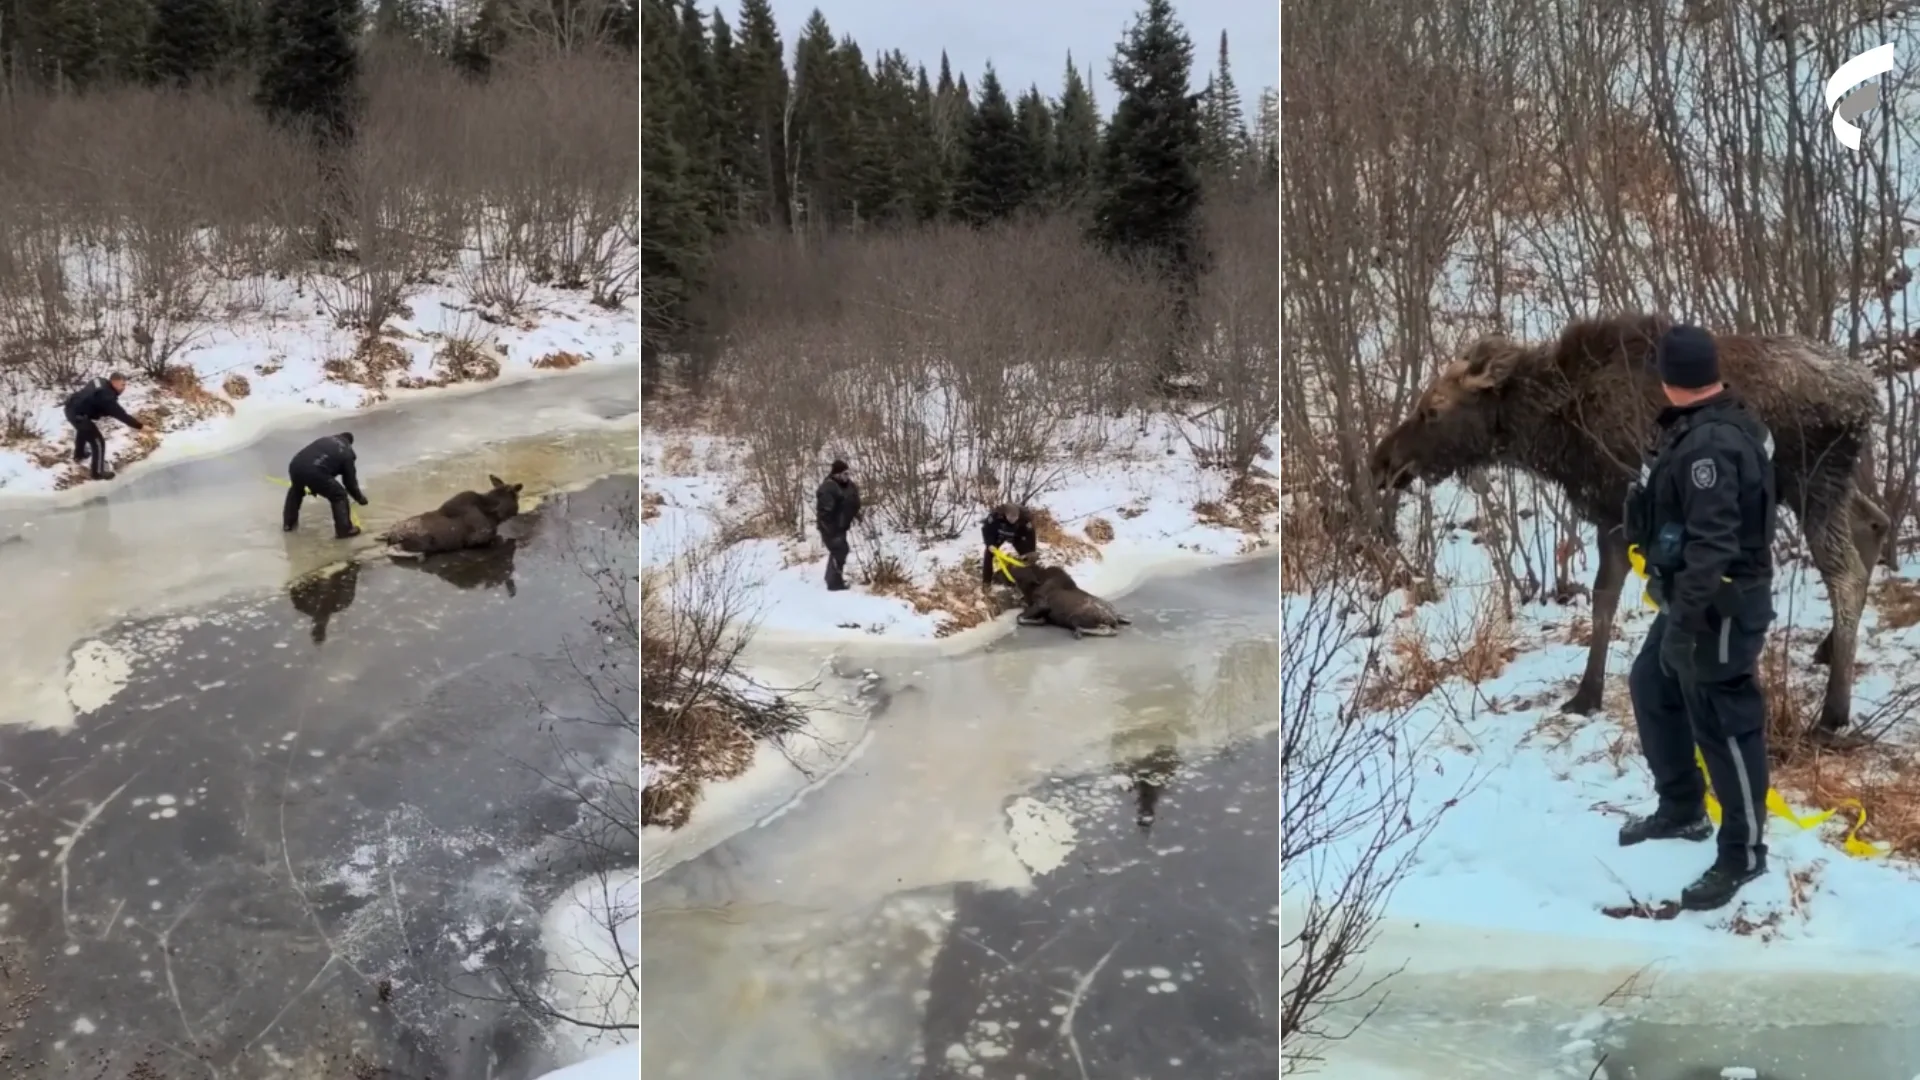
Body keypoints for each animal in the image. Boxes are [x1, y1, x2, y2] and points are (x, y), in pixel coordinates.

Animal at [1374, 311, 1881, 730]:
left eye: (1432, 409)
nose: (1383, 462)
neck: (1553, 425)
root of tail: (1868, 394)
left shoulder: (1617, 508)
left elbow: (1603, 598)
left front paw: (1586, 695)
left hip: (1812, 482)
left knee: (1847, 573)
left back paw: (1833, 714)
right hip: (1828, 483)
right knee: (1873, 521)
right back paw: (1828, 649)